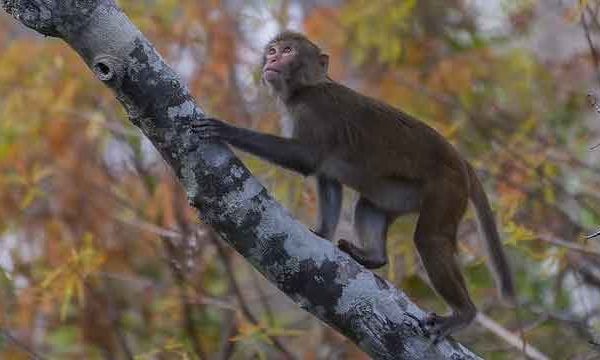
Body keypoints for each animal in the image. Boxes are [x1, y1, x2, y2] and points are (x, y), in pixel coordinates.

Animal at [190, 31, 512, 344]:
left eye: (288, 51)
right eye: (272, 51)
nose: (272, 60)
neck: (305, 88)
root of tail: (460, 160)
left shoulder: (313, 110)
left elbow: (306, 158)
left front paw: (226, 129)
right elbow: (327, 177)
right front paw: (322, 232)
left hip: (447, 188)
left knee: (429, 239)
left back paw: (463, 314)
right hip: (405, 193)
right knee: (369, 206)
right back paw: (374, 256)